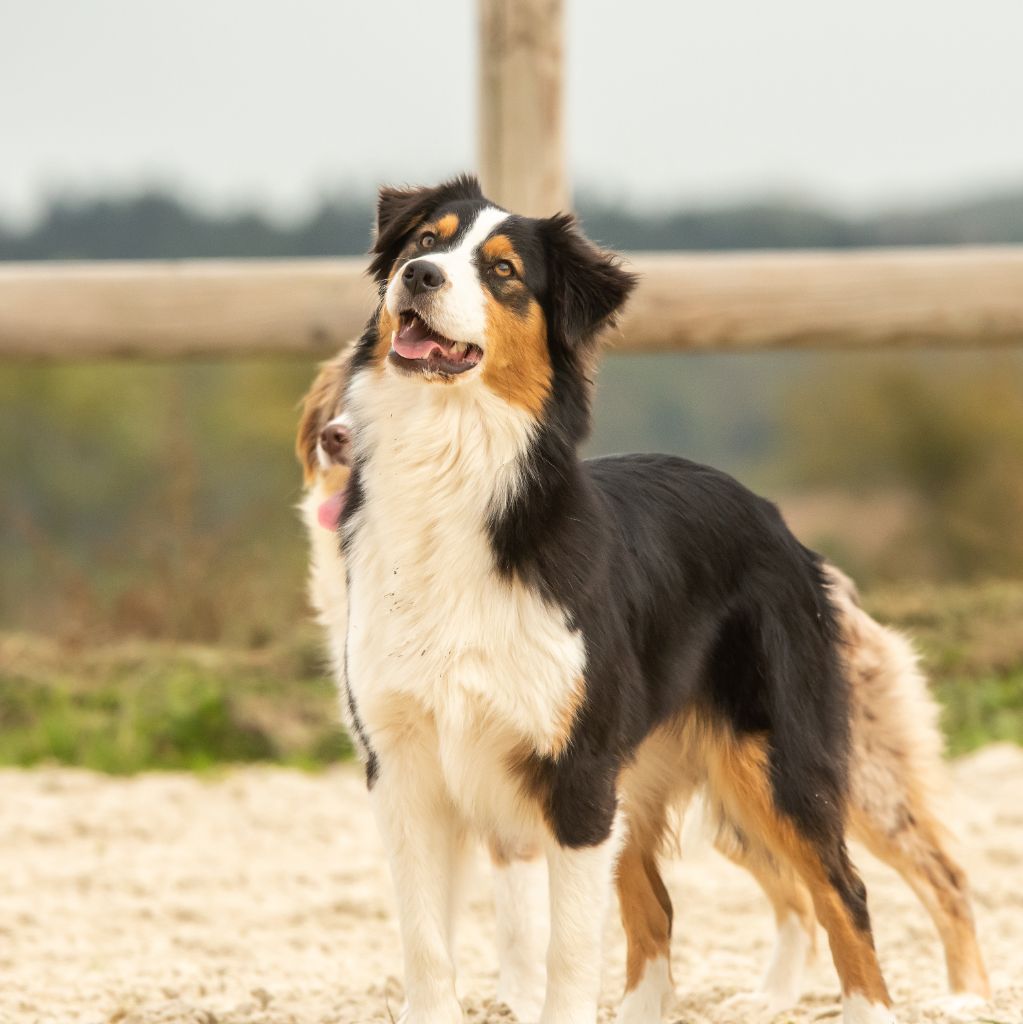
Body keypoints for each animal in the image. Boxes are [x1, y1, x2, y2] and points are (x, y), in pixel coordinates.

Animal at [299, 178, 991, 1024]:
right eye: (423, 241)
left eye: (502, 271)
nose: (419, 276)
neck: (447, 486)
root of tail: (774, 519)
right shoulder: (403, 769)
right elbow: (428, 949)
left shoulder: (573, 773)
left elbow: (563, 955)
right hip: (646, 781)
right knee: (660, 909)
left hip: (778, 765)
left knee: (846, 893)